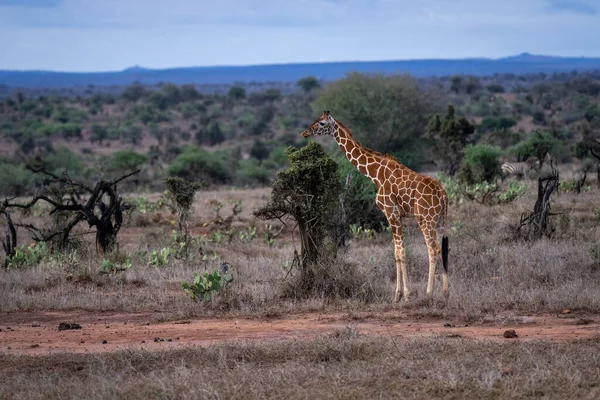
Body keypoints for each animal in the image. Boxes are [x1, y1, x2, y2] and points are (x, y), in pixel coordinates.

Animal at [300, 111, 450, 302]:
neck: (375, 174)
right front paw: (397, 295)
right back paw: (445, 292)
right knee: (442, 248)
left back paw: (429, 293)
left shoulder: (391, 213)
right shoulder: (395, 215)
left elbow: (401, 252)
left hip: (426, 219)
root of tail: (443, 194)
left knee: (433, 249)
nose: (305, 132)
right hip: (439, 220)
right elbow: (396, 253)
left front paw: (407, 295)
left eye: (321, 123)